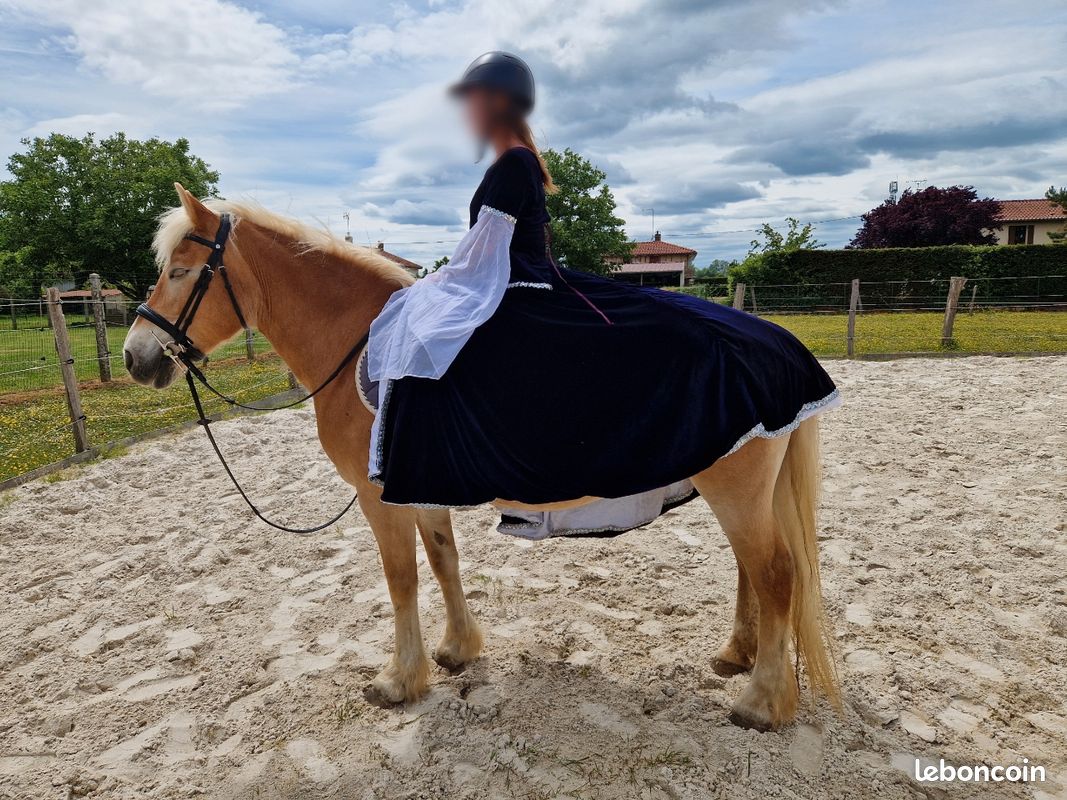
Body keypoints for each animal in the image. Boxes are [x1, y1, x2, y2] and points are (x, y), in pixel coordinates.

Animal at [122, 184, 839, 732]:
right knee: (752, 571)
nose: (135, 357)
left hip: (735, 490)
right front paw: (456, 650)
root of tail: (781, 343)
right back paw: (737, 655)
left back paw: (761, 703)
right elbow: (443, 561)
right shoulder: (420, 490)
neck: (362, 345)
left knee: (776, 573)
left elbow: (401, 578)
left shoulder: (381, 498)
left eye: (179, 272)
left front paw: (398, 680)